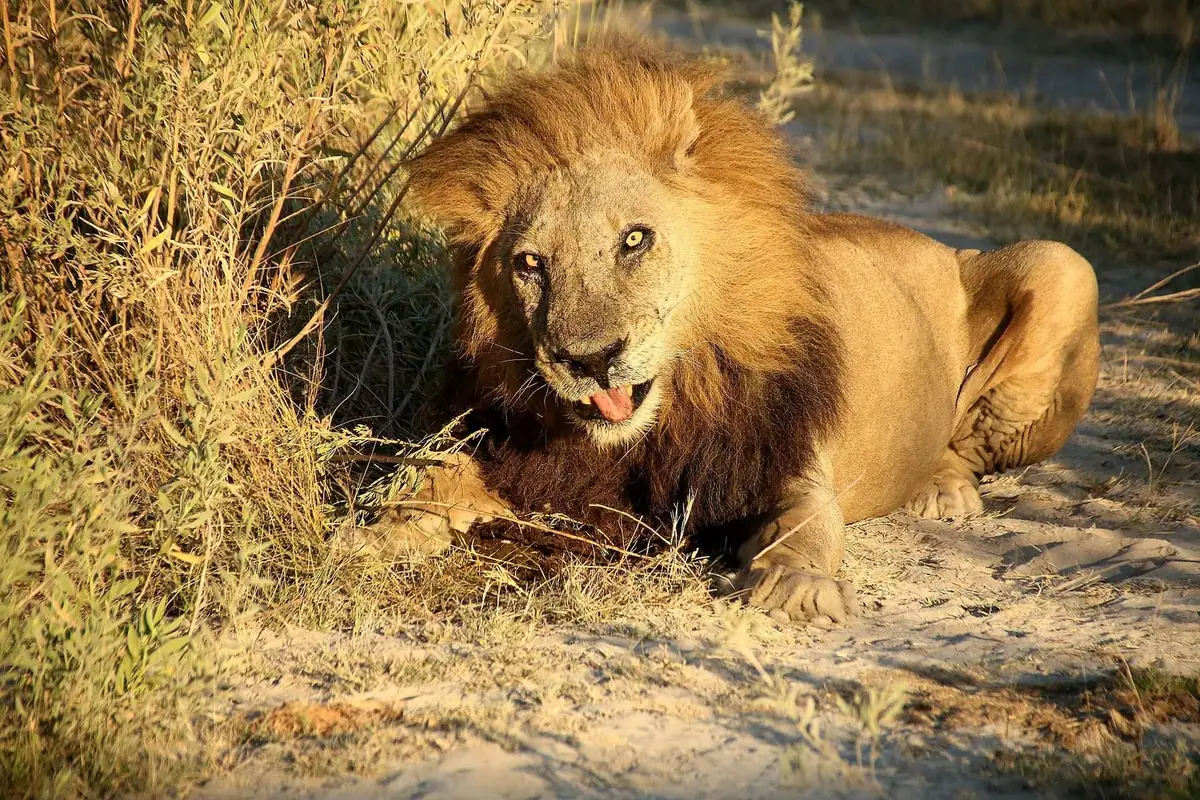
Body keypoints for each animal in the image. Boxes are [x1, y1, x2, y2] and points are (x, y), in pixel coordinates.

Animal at [396, 42, 1100, 625]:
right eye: (531, 264)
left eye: (634, 240)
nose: (590, 360)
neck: (668, 411)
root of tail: (938, 242)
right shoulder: (507, 450)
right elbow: (425, 479)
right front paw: (382, 532)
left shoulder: (785, 462)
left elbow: (806, 530)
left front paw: (797, 590)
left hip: (1064, 265)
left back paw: (944, 490)